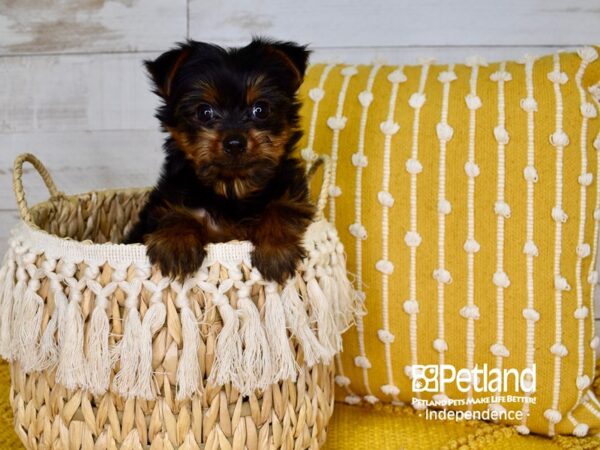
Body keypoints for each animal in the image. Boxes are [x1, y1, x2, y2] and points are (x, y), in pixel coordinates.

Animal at [125, 39, 316, 284]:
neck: (232, 186)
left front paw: (276, 250)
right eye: (204, 112)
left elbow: (282, 207)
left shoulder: (294, 195)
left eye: (261, 109)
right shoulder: (170, 198)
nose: (234, 142)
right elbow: (176, 212)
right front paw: (176, 243)